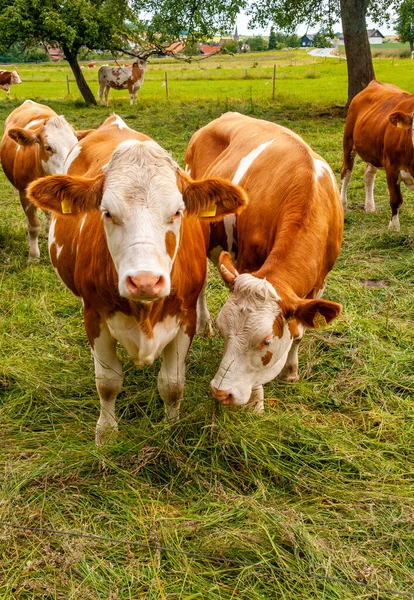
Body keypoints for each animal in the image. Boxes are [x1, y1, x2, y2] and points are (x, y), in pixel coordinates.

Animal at [27, 113, 247, 446]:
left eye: (178, 211)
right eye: (106, 212)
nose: (144, 281)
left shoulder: (183, 320)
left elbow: (172, 384)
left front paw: (171, 427)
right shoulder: (94, 316)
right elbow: (107, 382)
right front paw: (106, 433)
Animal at [185, 112, 342, 412]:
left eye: (266, 340)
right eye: (224, 330)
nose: (221, 393)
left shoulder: (320, 281)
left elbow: (299, 330)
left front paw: (290, 371)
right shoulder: (248, 262)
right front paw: (257, 403)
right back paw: (202, 325)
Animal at [342, 79, 414, 230]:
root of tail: (375, 83)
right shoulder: (392, 167)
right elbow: (396, 199)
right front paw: (394, 228)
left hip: (374, 151)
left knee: (368, 174)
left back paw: (369, 207)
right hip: (348, 142)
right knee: (346, 172)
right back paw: (343, 204)